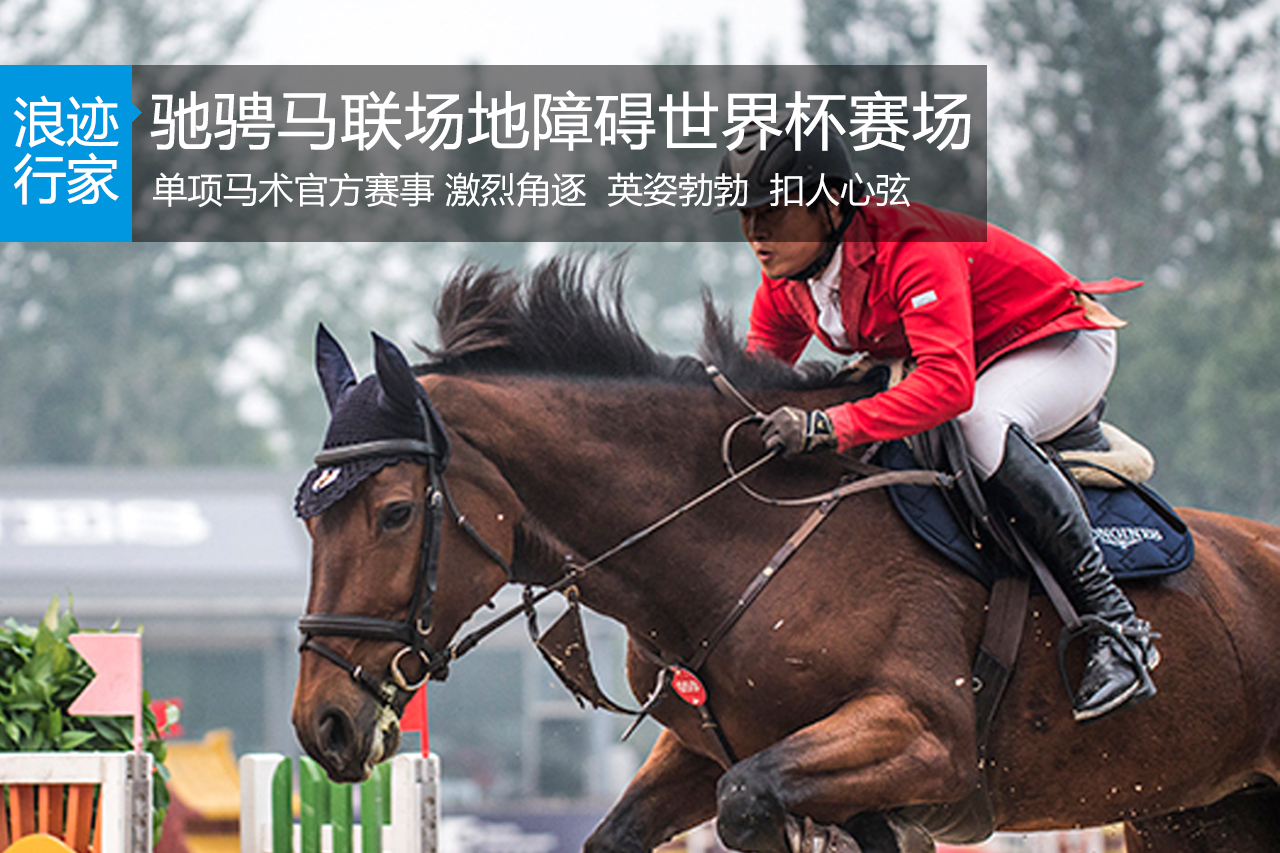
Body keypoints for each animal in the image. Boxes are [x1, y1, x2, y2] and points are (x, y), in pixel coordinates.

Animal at [291, 258, 1280, 853]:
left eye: (392, 512)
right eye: (307, 521)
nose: (322, 724)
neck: (730, 538)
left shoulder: (922, 737)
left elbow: (754, 803)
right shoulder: (702, 750)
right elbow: (632, 829)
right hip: (1197, 810)